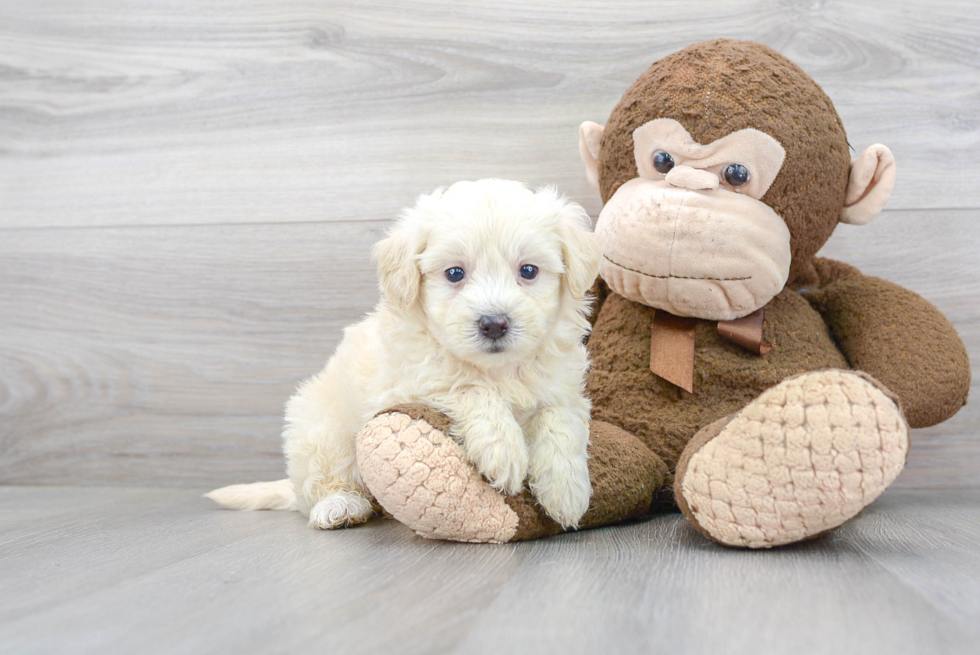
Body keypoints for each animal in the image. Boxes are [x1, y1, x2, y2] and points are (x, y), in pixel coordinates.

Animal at [209, 181, 596, 532]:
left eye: (528, 270)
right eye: (455, 273)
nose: (493, 323)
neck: (497, 370)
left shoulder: (563, 387)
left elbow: (560, 421)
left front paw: (566, 490)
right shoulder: (408, 385)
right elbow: (467, 388)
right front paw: (503, 449)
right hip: (321, 428)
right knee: (323, 482)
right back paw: (340, 506)